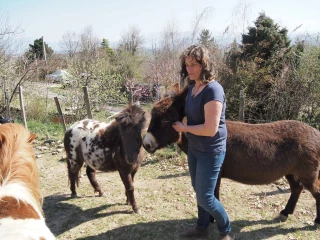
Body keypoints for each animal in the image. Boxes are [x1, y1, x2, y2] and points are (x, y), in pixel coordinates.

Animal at [143, 83, 320, 227]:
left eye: (166, 119)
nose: (146, 144)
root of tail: (315, 132)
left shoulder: (215, 172)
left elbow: (213, 194)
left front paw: (211, 219)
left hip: (308, 173)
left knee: (315, 192)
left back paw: (316, 221)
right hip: (291, 171)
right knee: (297, 188)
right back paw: (285, 213)